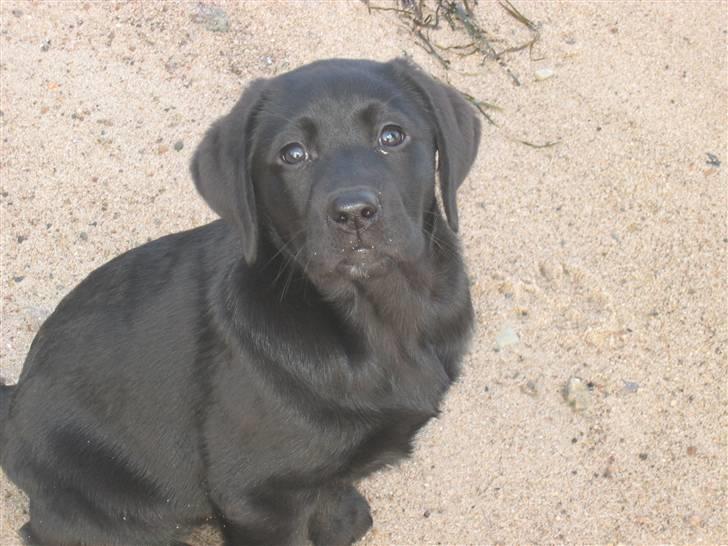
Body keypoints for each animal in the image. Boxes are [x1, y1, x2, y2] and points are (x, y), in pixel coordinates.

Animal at [0, 57, 480, 540]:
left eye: (391, 136)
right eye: (293, 154)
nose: (354, 213)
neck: (379, 318)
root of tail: (14, 404)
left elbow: (330, 486)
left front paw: (342, 519)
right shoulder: (256, 497)